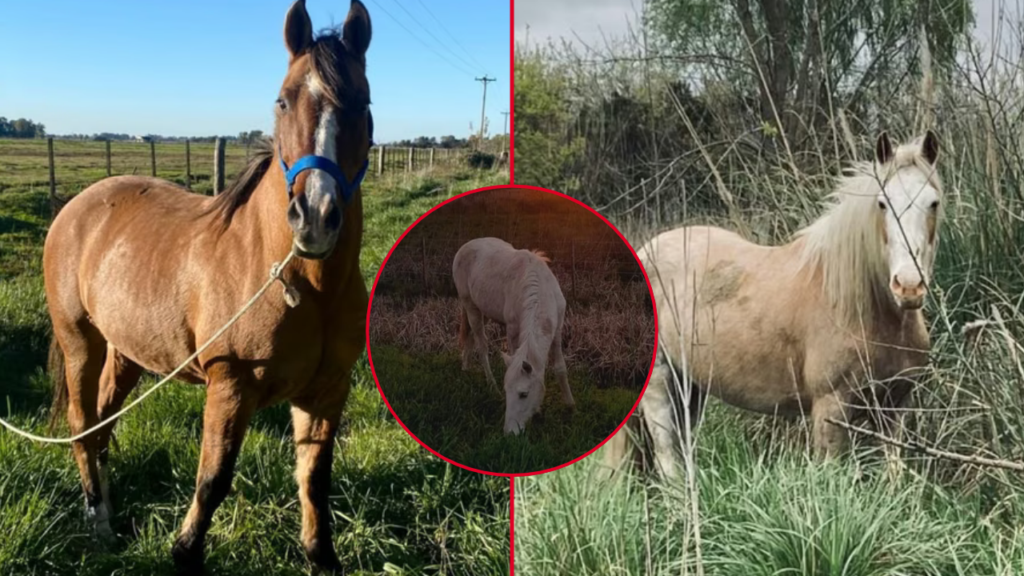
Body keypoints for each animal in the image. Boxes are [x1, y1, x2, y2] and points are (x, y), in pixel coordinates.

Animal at [42, 1, 372, 572]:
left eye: (363, 102)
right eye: (283, 100)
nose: (315, 217)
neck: (302, 285)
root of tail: (77, 205)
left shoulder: (327, 390)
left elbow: (314, 480)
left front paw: (321, 556)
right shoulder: (230, 384)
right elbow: (213, 480)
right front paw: (184, 552)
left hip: (126, 351)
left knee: (104, 422)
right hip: (80, 341)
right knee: (83, 424)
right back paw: (99, 521)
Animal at [453, 237, 575, 434]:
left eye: (523, 394)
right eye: (507, 391)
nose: (509, 432)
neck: (540, 291)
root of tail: (466, 246)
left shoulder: (556, 331)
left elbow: (560, 368)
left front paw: (571, 406)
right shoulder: (512, 331)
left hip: (483, 309)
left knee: (470, 336)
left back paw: (465, 367)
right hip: (470, 306)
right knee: (481, 345)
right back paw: (491, 384)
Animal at [604, 132, 943, 478]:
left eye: (934, 202)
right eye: (882, 203)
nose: (909, 286)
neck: (864, 308)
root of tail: (643, 253)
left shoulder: (895, 407)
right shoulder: (830, 409)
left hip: (689, 386)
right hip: (658, 382)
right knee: (666, 454)